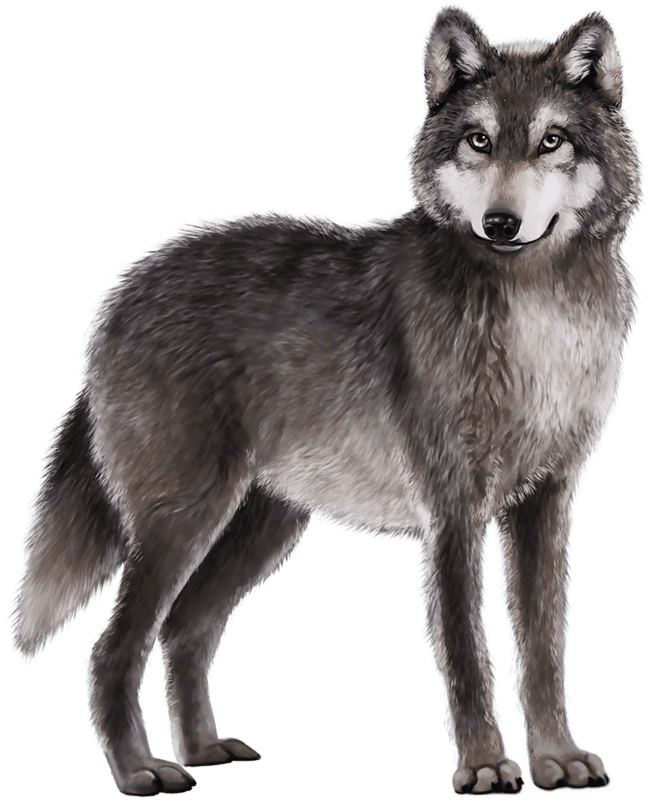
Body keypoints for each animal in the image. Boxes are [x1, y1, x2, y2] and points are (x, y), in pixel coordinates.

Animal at [8, 4, 642, 796]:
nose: (500, 223)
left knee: (184, 628)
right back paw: (144, 772)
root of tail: (116, 300)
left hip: (259, 529)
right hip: (184, 523)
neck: (535, 316)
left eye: (551, 141)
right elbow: (467, 654)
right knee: (113, 647)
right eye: (479, 140)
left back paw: (203, 749)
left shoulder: (548, 504)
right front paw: (485, 766)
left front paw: (558, 759)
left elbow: (545, 649)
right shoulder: (452, 510)